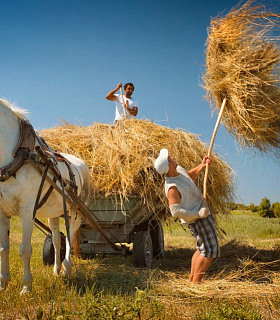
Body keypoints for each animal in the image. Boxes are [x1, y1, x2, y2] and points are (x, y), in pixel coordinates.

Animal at [0, 99, 90, 292]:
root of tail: (81, 163)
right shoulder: (2, 212)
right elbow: (4, 248)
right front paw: (3, 283)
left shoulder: (28, 212)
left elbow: (25, 250)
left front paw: (26, 287)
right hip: (54, 211)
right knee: (57, 240)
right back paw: (56, 269)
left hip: (76, 210)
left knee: (70, 236)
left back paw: (67, 268)